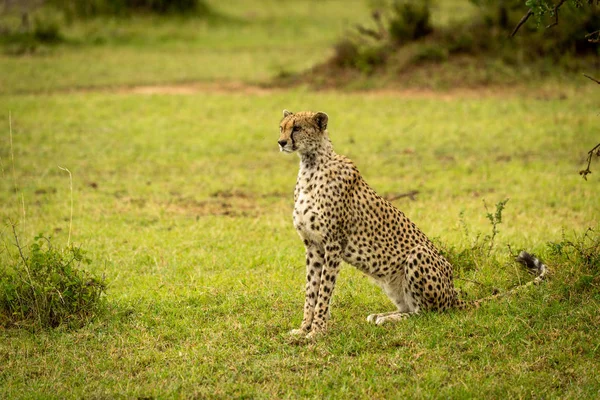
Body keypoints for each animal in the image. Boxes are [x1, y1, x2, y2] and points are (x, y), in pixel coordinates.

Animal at [278, 108, 548, 338]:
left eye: (297, 128)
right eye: (282, 127)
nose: (281, 142)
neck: (311, 165)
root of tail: (453, 295)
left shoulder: (333, 244)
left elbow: (324, 291)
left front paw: (317, 332)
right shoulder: (313, 246)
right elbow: (311, 290)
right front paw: (303, 329)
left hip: (418, 255)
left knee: (428, 313)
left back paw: (388, 319)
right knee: (412, 307)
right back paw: (383, 315)